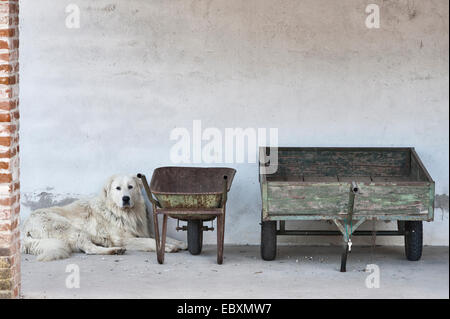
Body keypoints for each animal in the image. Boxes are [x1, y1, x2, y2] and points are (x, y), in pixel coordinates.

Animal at [20, 175, 186, 262]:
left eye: (130, 187)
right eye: (118, 188)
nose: (125, 198)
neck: (123, 213)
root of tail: (24, 229)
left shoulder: (143, 232)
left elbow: (162, 237)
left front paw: (180, 243)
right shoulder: (125, 239)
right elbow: (151, 242)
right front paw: (169, 247)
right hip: (70, 229)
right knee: (89, 249)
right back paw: (114, 251)